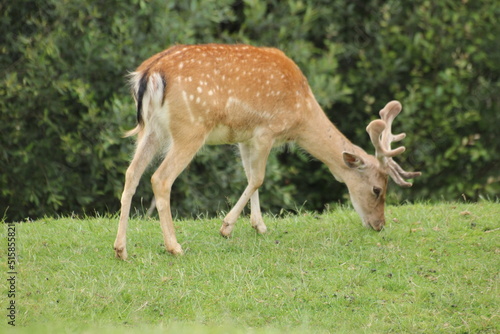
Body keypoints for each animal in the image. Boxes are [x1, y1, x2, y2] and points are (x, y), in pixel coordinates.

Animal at [112, 43, 418, 260]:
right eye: (377, 189)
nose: (379, 225)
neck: (300, 116)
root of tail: (150, 74)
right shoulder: (266, 131)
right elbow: (258, 179)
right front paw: (226, 227)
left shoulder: (243, 137)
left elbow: (250, 177)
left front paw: (258, 226)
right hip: (190, 128)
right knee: (160, 178)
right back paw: (174, 247)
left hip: (150, 130)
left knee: (131, 174)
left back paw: (121, 249)